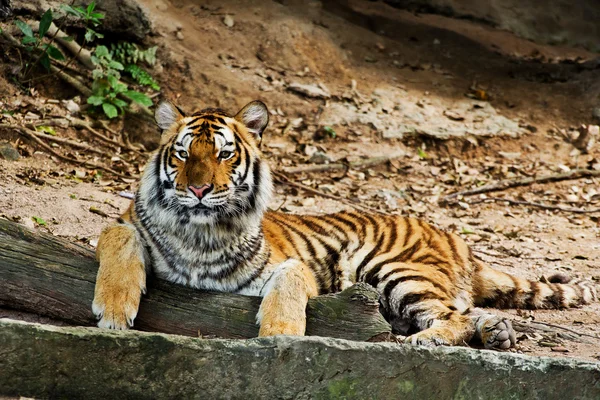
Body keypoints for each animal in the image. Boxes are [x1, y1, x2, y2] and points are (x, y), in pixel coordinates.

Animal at [91, 101, 596, 350]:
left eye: (224, 154)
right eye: (182, 154)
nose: (197, 190)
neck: (200, 230)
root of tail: (454, 238)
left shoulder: (289, 265)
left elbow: (289, 284)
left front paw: (279, 338)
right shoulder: (126, 223)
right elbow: (116, 238)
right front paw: (114, 314)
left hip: (395, 270)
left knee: (450, 319)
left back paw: (422, 343)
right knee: (468, 314)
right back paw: (497, 332)